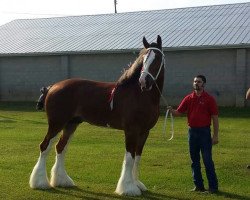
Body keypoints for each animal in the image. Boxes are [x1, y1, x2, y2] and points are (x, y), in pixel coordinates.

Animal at [29, 35, 165, 196]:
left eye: (157, 59)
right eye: (143, 59)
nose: (144, 81)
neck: (140, 94)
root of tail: (52, 87)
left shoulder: (144, 132)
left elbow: (137, 157)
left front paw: (137, 184)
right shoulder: (131, 131)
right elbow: (129, 157)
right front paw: (128, 188)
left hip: (70, 124)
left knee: (60, 147)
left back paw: (62, 181)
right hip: (57, 123)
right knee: (45, 146)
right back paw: (40, 183)